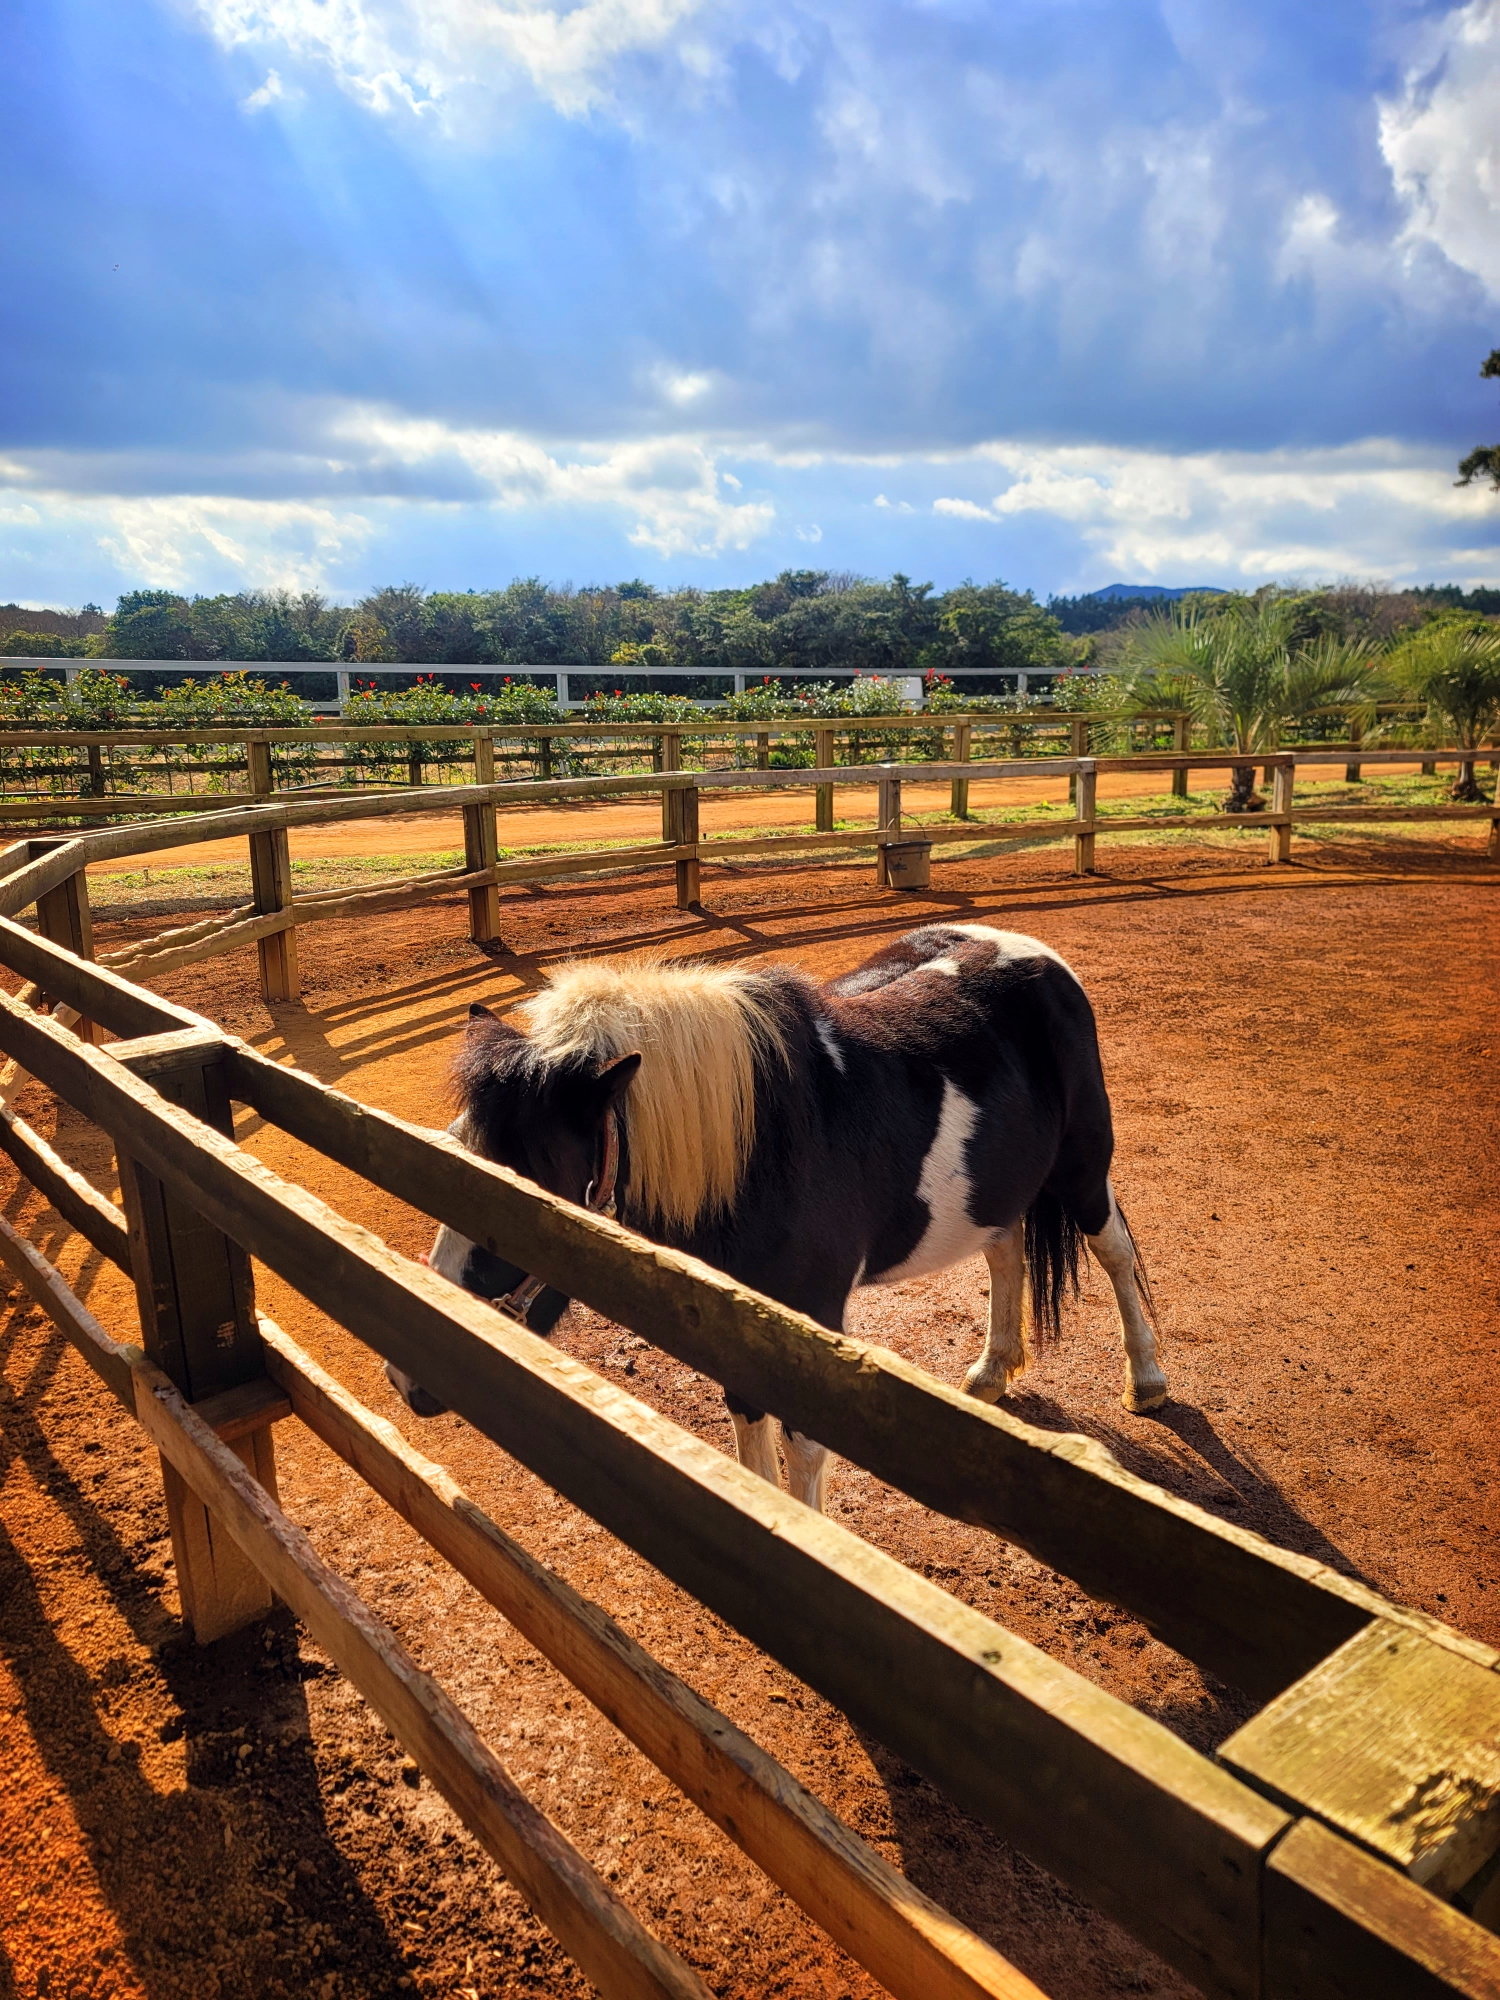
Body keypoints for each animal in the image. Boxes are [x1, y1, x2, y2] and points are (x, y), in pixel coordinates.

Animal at [394, 924, 1168, 1512]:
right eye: (460, 1141)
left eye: (536, 1169)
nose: (409, 1375)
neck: (760, 1150)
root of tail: (1037, 957)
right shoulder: (737, 1313)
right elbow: (747, 1418)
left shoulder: (813, 1317)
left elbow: (804, 1442)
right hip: (999, 1188)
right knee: (1004, 1251)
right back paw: (990, 1373)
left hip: (1082, 1170)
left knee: (1116, 1253)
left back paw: (1147, 1381)